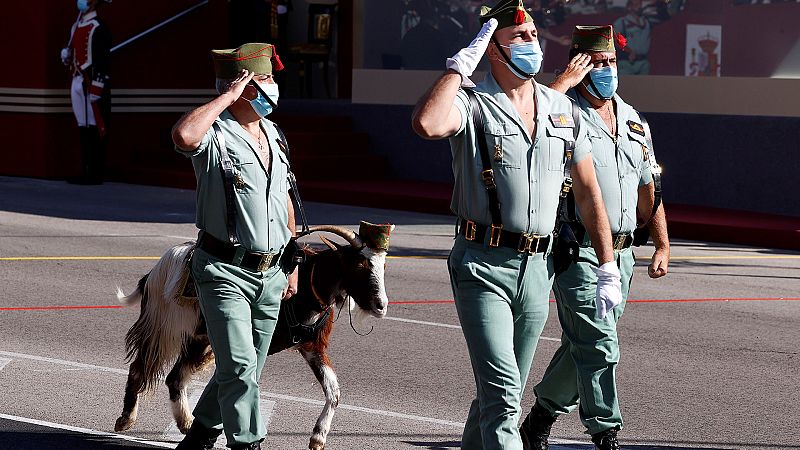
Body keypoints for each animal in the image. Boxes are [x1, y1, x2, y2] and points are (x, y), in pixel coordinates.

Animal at [111, 225, 390, 450]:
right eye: (360, 265)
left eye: (383, 266)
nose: (381, 306)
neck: (309, 284)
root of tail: (155, 270)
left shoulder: (313, 347)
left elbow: (334, 391)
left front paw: (318, 438)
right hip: (164, 326)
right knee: (140, 368)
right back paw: (126, 419)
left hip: (199, 340)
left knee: (175, 378)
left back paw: (187, 424)